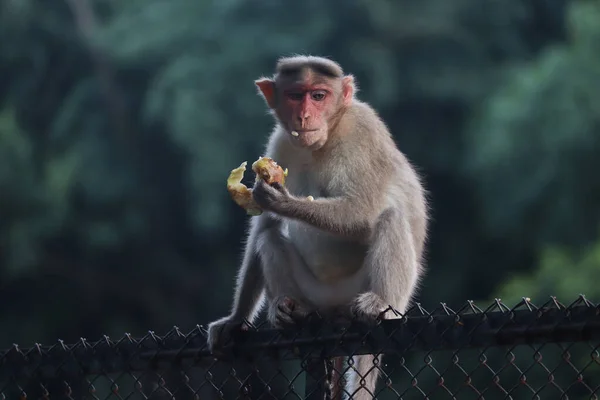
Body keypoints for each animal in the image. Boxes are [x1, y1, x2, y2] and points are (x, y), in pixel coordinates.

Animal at [209, 54, 428, 398]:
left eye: (319, 95)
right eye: (296, 95)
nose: (305, 115)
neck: (327, 135)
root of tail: (335, 308)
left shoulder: (362, 130)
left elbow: (363, 210)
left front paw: (281, 200)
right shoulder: (281, 140)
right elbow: (264, 225)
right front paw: (235, 319)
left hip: (359, 289)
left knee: (390, 217)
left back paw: (380, 304)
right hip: (316, 295)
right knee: (269, 238)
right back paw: (291, 310)